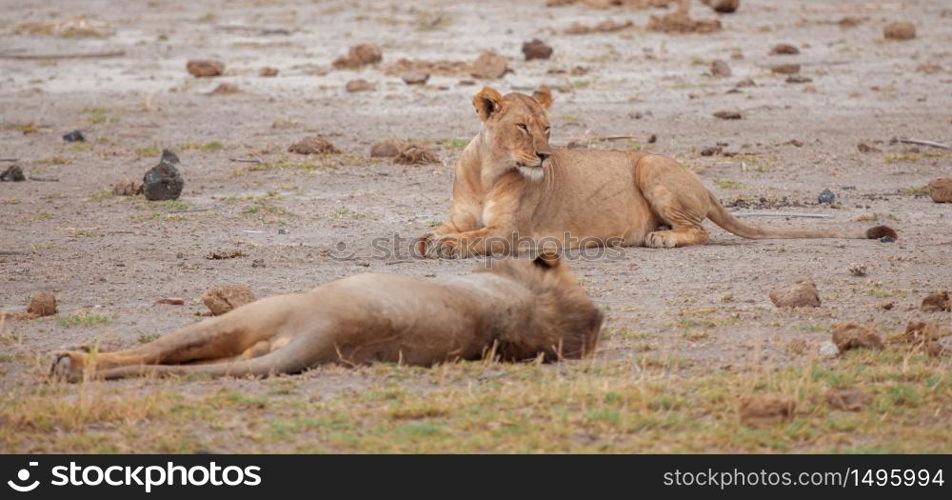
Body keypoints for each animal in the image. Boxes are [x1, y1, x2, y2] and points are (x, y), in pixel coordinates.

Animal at [416, 86, 892, 258]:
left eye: (547, 128)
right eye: (521, 126)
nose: (545, 156)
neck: (490, 170)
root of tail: (704, 184)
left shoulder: (510, 234)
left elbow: (475, 239)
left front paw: (449, 247)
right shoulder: (460, 216)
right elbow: (439, 230)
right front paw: (431, 239)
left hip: (650, 165)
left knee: (700, 231)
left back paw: (661, 237)